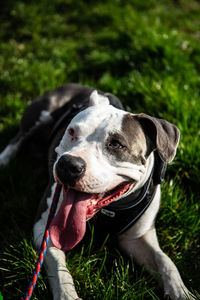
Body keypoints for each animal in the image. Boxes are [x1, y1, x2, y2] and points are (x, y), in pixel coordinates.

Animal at [0, 83, 195, 298]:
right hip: (40, 114)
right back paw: (4, 161)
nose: (68, 165)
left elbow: (164, 261)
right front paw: (67, 295)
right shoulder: (44, 226)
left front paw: (181, 291)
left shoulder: (137, 238)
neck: (111, 209)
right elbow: (57, 267)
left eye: (116, 144)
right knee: (16, 139)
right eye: (71, 132)